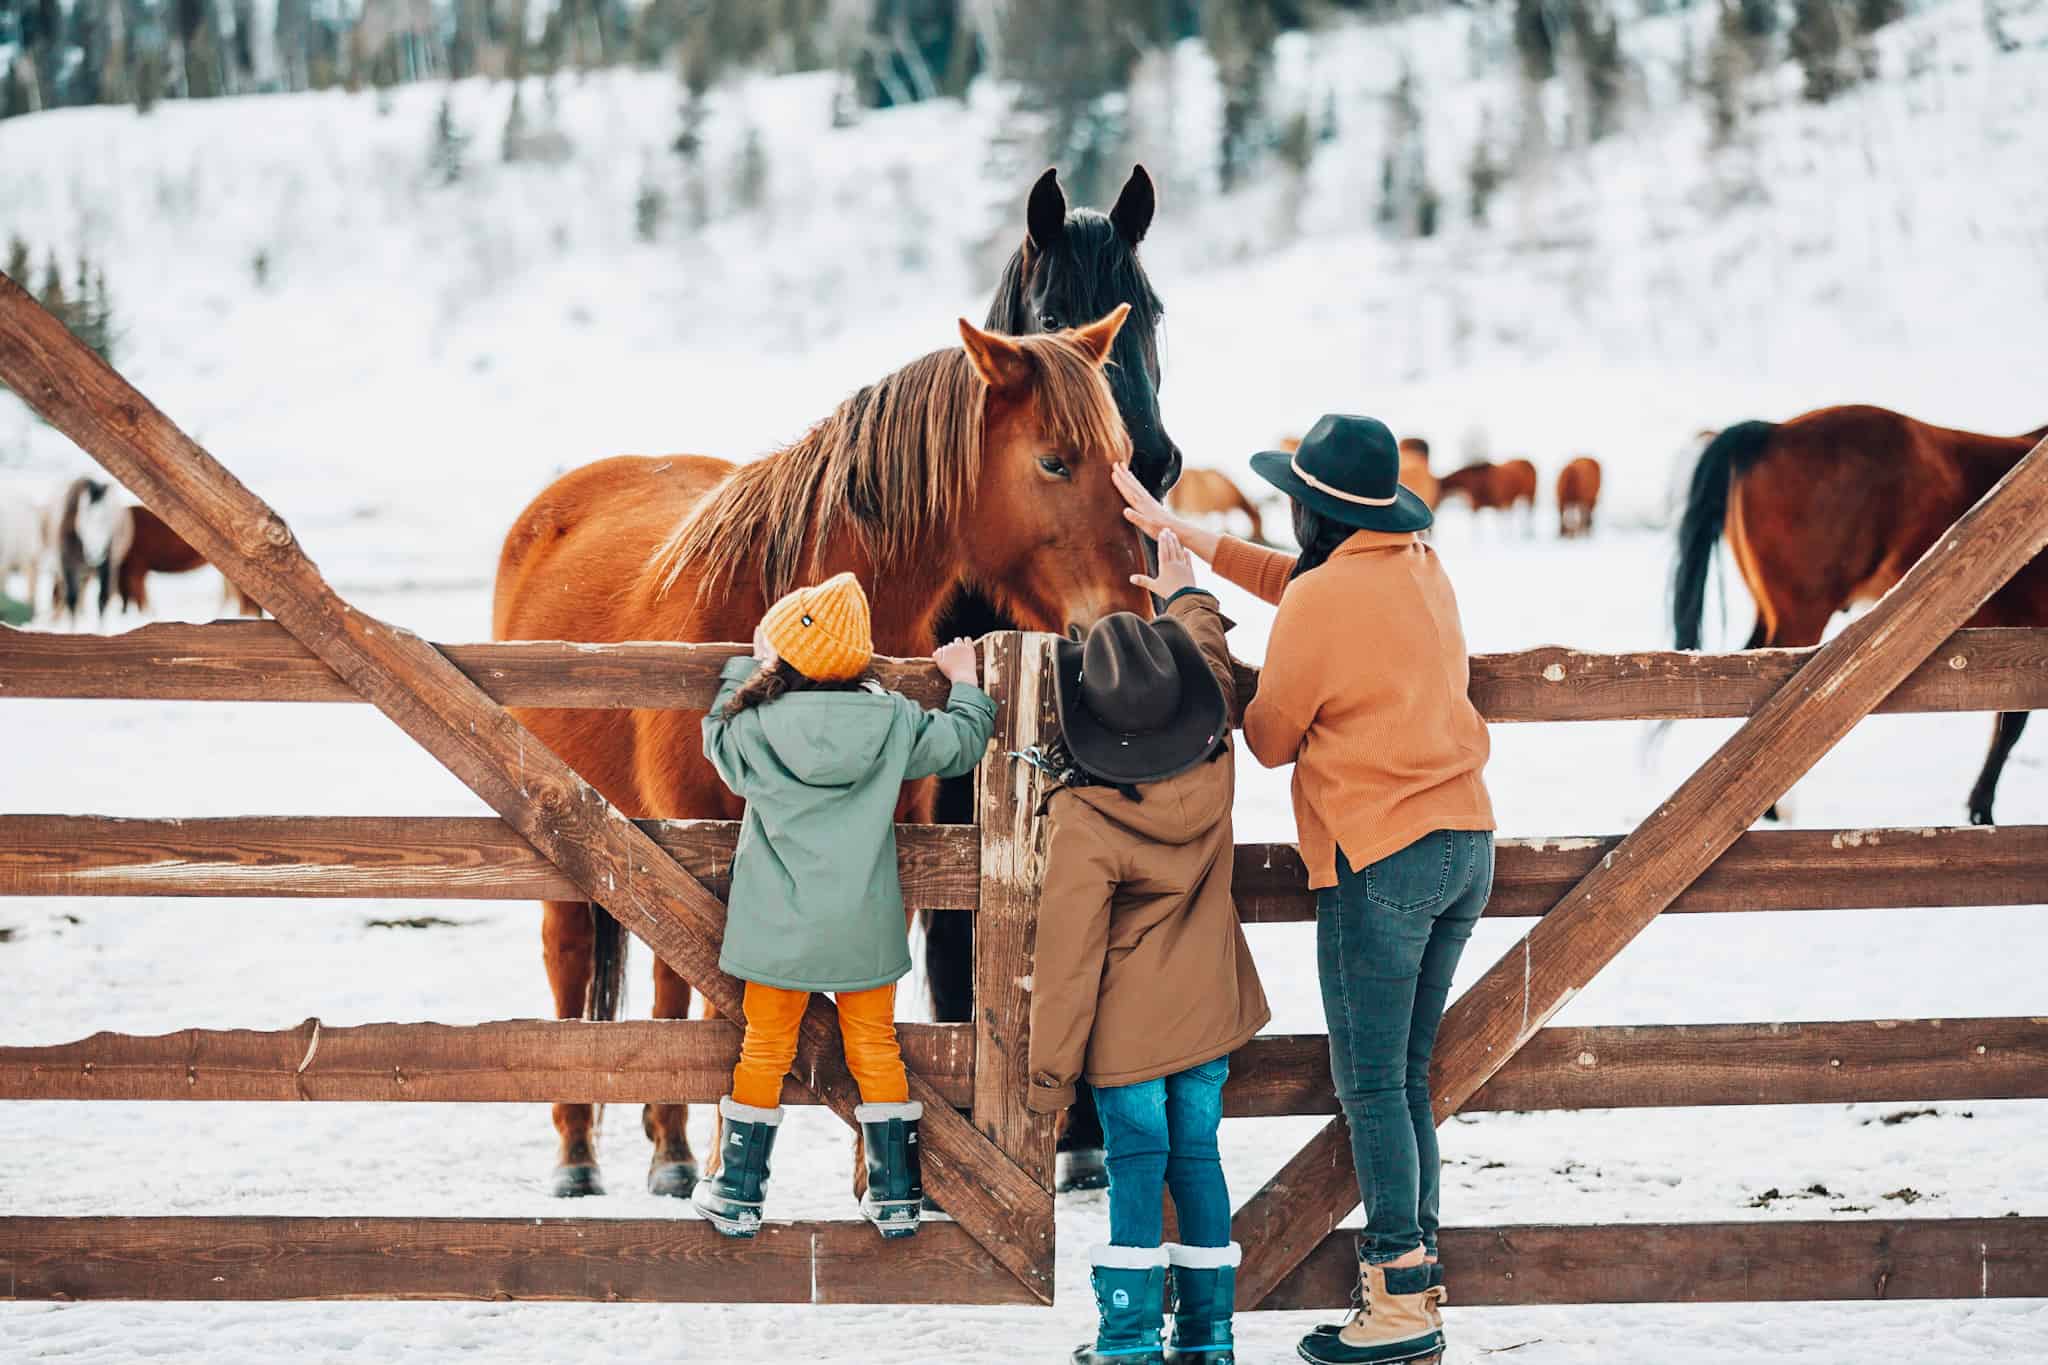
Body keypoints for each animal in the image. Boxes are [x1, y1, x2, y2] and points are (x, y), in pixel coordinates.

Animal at [487, 306, 1146, 1195]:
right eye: (1054, 459)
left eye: (1126, 459)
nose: (1125, 622)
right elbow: (721, 1002)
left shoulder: (895, 846)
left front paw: (875, 1174)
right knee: (576, 968)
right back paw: (584, 1154)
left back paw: (666, 1148)